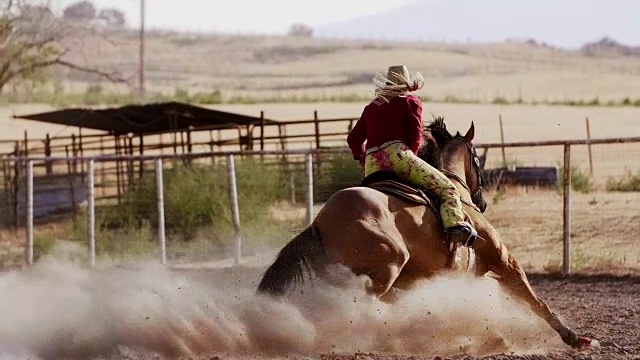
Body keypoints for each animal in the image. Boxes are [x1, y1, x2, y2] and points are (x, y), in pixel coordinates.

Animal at [256, 118, 596, 352]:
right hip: (387, 266)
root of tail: (320, 223)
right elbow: (534, 300)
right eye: (478, 158)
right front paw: (575, 338)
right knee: (360, 308)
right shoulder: (503, 260)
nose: (483, 202)